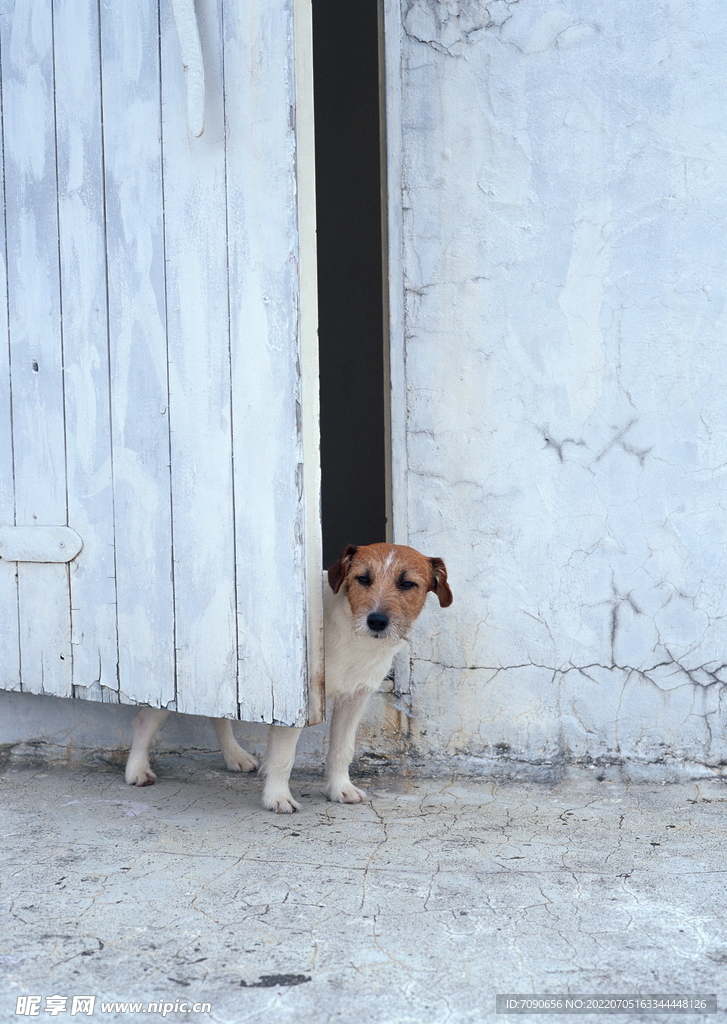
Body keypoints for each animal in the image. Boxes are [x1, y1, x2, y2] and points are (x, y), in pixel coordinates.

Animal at [127, 540, 452, 811]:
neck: (353, 636)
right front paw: (277, 798)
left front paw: (339, 789)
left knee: (218, 716)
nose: (377, 621)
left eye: (407, 583)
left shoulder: (354, 699)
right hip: (172, 683)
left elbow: (342, 749)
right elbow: (284, 757)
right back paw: (137, 770)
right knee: (145, 719)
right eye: (363, 579)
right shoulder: (296, 705)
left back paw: (235, 756)